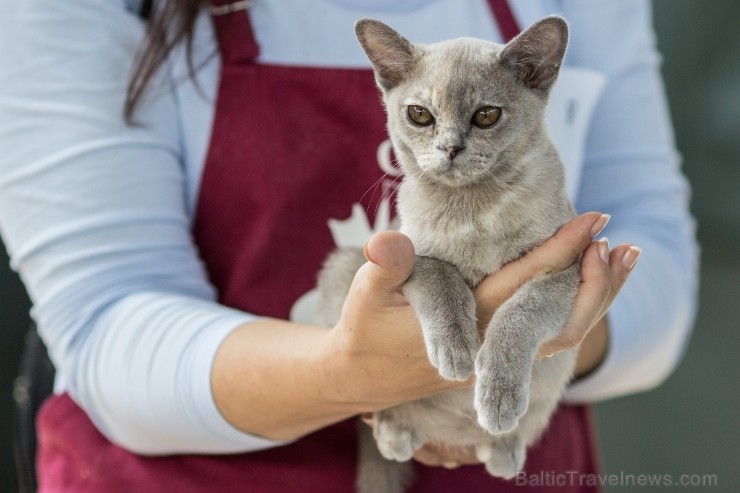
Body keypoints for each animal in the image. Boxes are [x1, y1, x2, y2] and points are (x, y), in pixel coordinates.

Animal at [316, 15, 580, 492]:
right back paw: (394, 433)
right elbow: (442, 276)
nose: (450, 148)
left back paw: (503, 445)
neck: (472, 212)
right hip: (344, 265)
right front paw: (456, 350)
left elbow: (519, 313)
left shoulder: (565, 264)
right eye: (420, 114)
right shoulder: (409, 251)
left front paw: (497, 394)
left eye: (487, 115)